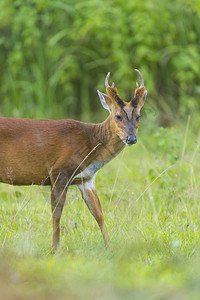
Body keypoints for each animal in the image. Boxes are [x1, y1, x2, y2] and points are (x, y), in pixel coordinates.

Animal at [0, 69, 147, 250]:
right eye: (118, 116)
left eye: (139, 116)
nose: (131, 138)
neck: (91, 143)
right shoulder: (59, 172)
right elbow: (57, 213)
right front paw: (55, 249)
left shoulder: (86, 179)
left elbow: (99, 214)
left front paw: (110, 246)